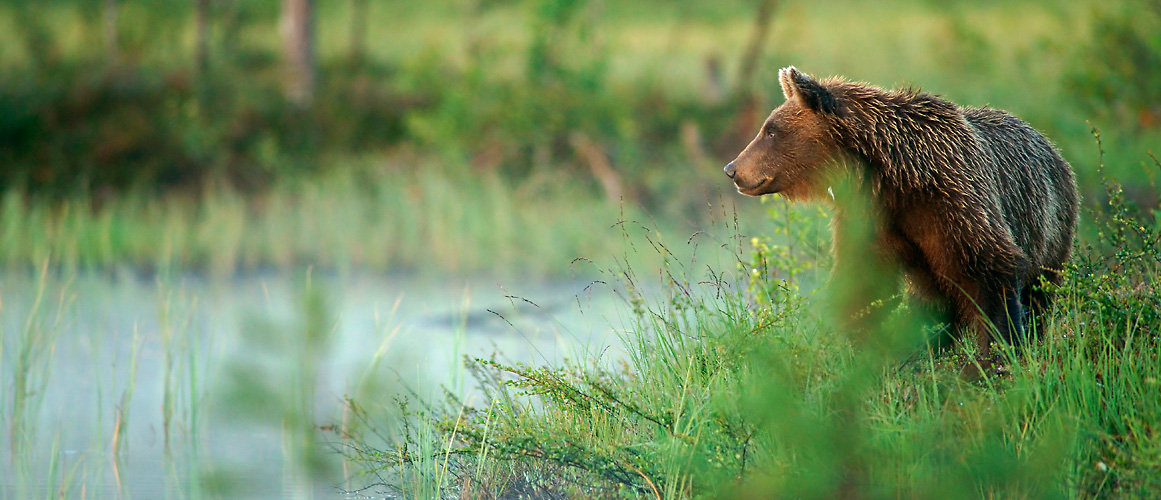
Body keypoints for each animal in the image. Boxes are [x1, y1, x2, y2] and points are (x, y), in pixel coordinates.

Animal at [724, 66, 1077, 352]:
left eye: (771, 131)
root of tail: (1050, 145)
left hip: (1050, 227)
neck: (894, 175)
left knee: (1039, 293)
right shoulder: (869, 219)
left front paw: (997, 357)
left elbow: (990, 273)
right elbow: (863, 285)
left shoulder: (954, 202)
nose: (732, 169)